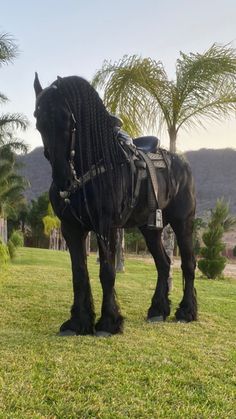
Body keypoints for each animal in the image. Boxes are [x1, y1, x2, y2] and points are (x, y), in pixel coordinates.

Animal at [32, 74, 195, 338]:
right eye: (39, 121)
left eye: (69, 120)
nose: (63, 180)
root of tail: (181, 163)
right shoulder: (71, 229)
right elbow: (79, 274)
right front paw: (78, 322)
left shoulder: (105, 226)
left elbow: (107, 273)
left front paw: (108, 322)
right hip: (150, 229)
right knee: (164, 264)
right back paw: (158, 310)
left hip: (183, 222)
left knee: (188, 264)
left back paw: (186, 311)